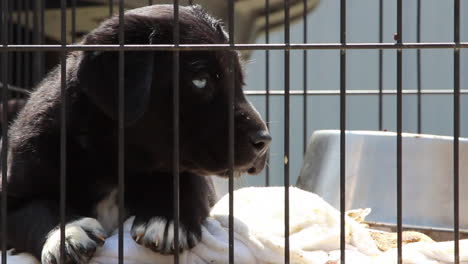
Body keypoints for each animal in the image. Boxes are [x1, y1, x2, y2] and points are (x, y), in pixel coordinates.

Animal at [0, 4, 270, 264]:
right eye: (200, 80)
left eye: (240, 83)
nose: (264, 141)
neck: (114, 158)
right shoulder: (15, 190)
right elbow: (36, 209)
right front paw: (68, 234)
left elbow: (187, 181)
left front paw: (166, 219)